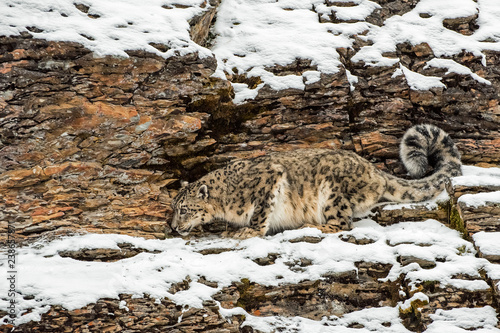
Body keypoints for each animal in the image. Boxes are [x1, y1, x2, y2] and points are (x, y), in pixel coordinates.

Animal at [171, 123, 460, 237]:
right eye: (174, 209)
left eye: (184, 209)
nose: (173, 227)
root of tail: (375, 171)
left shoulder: (268, 180)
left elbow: (261, 212)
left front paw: (248, 231)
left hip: (332, 191)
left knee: (343, 223)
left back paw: (312, 226)